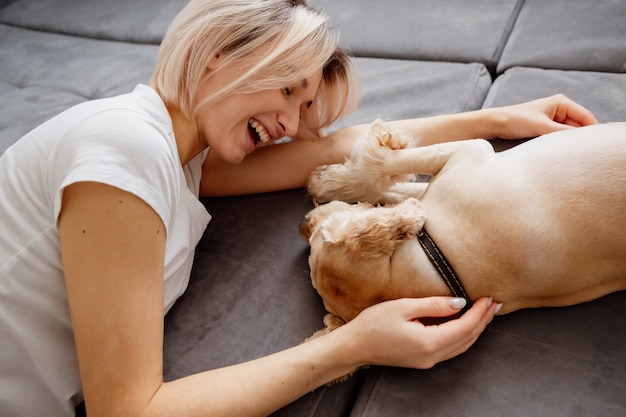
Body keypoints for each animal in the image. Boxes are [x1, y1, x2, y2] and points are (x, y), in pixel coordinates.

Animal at [298, 121, 624, 328]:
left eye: (316, 237)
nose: (302, 224)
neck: (440, 260)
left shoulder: (468, 152)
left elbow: (384, 173)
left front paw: (330, 182)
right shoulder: (467, 156)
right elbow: (389, 181)